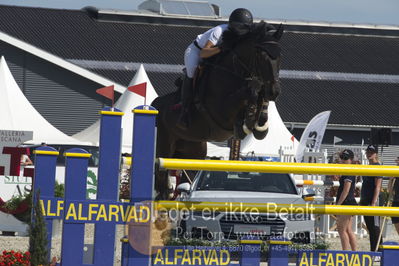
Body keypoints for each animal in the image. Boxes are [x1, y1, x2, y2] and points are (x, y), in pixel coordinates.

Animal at [152, 21, 282, 198]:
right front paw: (245, 124)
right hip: (164, 148)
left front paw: (260, 125)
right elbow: (247, 93)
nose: (274, 91)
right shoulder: (221, 111)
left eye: (280, 55)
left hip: (193, 151)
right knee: (162, 181)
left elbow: (258, 101)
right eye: (262, 56)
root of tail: (154, 104)